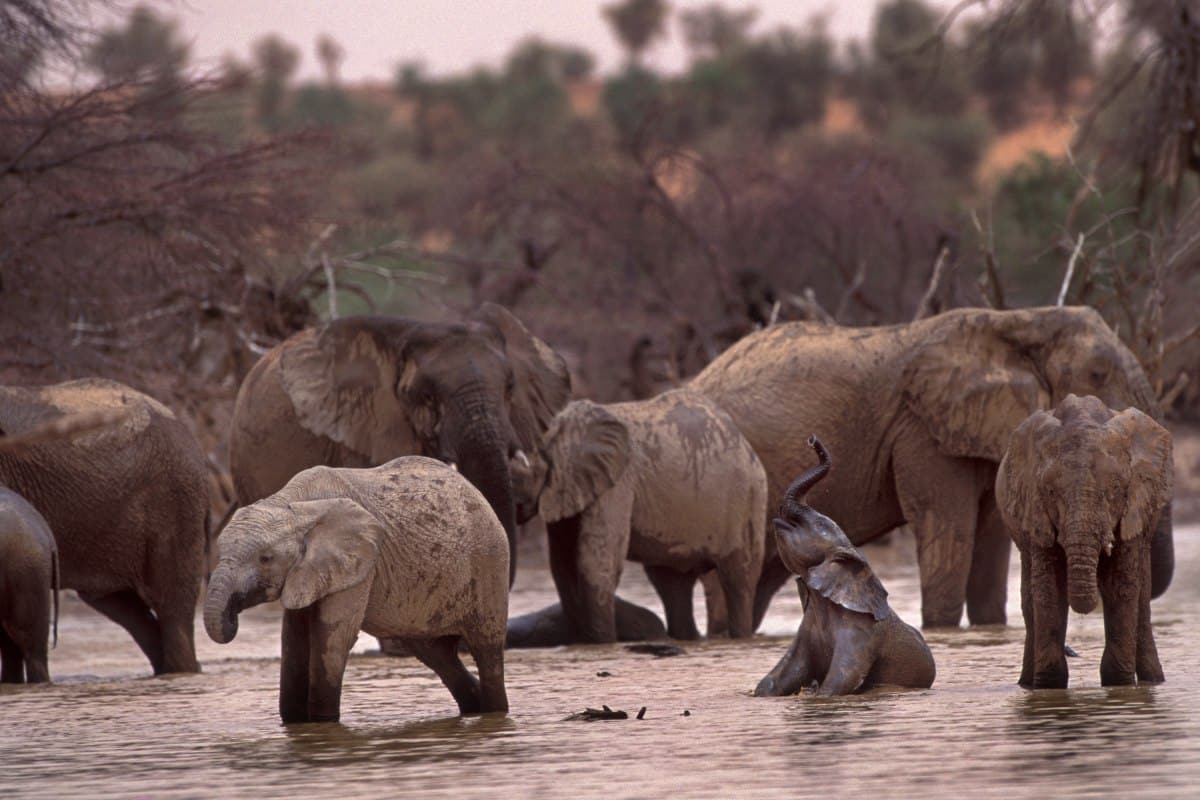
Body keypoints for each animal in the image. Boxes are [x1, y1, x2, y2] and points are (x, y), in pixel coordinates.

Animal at [205, 457, 510, 723]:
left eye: (265, 558)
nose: (232, 615)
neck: (294, 505)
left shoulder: (359, 567)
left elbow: (333, 637)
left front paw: (322, 724)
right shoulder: (305, 573)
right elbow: (293, 640)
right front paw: (295, 724)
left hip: (489, 564)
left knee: (487, 651)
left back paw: (494, 713)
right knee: (437, 654)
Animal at [509, 389, 767, 643]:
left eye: (519, 474)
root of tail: (747, 446)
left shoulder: (618, 483)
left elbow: (596, 562)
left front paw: (605, 645)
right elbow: (564, 567)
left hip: (748, 500)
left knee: (738, 579)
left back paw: (740, 637)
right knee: (672, 584)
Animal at [689, 306, 1171, 629]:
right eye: (1098, 375)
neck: (1017, 319)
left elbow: (991, 546)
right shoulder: (922, 433)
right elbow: (948, 531)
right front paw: (940, 628)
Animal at [755, 437, 935, 697]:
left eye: (820, 524)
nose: (812, 440)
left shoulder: (862, 634)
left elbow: (841, 680)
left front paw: (817, 694)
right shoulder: (806, 631)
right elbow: (782, 675)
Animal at [995, 394, 1171, 688]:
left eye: (1115, 489)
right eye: (1050, 491)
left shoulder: (1133, 506)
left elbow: (1120, 585)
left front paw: (1119, 684)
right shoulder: (1035, 508)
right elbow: (1049, 588)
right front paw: (1049, 685)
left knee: (1142, 597)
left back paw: (1153, 682)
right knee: (1030, 596)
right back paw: (1026, 684)